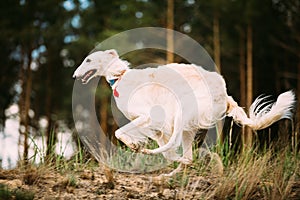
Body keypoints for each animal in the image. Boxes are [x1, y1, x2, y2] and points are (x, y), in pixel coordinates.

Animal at [73, 49, 296, 177]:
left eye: (89, 60)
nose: (74, 75)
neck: (120, 77)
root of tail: (225, 94)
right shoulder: (155, 127)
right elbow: (165, 150)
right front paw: (138, 146)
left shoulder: (148, 117)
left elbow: (120, 133)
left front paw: (135, 146)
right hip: (187, 126)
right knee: (186, 157)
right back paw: (172, 172)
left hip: (181, 110)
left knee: (178, 149)